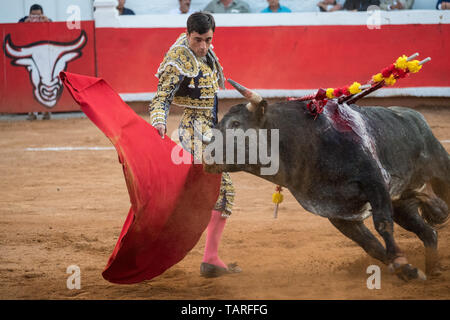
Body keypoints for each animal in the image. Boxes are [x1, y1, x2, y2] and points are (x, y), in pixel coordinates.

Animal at [205, 79, 450, 280]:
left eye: (236, 124)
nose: (206, 156)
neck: (304, 144)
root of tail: (415, 117)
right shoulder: (336, 212)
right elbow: (370, 245)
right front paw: (406, 270)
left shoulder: (374, 183)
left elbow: (382, 223)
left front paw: (400, 262)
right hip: (402, 203)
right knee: (429, 232)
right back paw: (434, 268)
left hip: (440, 172)